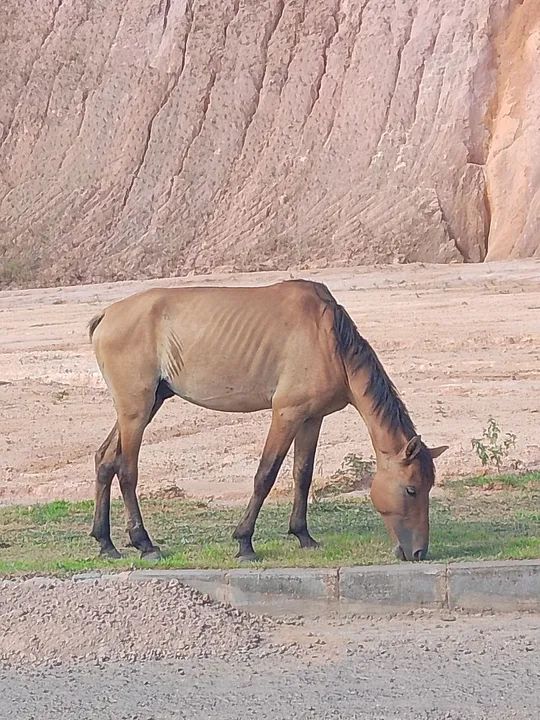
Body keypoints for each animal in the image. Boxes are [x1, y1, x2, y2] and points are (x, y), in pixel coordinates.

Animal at [88, 279, 447, 562]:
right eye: (411, 489)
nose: (419, 552)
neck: (328, 338)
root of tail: (107, 315)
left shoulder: (311, 419)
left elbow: (302, 475)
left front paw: (303, 536)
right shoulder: (286, 415)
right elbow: (265, 475)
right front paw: (244, 542)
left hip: (145, 406)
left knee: (105, 460)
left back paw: (106, 543)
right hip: (136, 410)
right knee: (127, 471)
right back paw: (144, 543)